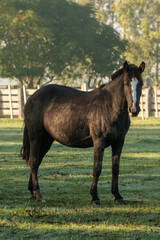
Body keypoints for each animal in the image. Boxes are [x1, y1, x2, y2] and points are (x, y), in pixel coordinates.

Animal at [21, 61, 145, 205]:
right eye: (126, 83)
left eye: (141, 84)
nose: (134, 110)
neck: (110, 106)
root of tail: (32, 97)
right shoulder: (99, 141)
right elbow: (97, 168)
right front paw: (95, 197)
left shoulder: (119, 142)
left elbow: (115, 169)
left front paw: (117, 196)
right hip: (36, 137)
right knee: (34, 162)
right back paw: (39, 195)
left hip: (47, 140)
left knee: (36, 161)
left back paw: (32, 192)